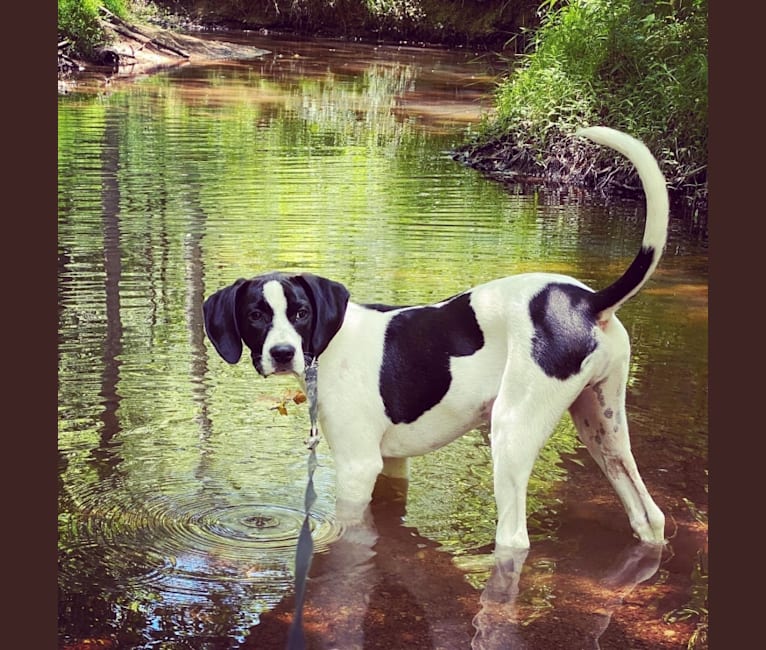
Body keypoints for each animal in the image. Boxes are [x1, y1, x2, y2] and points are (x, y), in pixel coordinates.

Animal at [207, 128, 668, 552]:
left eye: (301, 313)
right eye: (255, 315)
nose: (282, 354)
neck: (331, 345)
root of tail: (587, 301)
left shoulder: (357, 467)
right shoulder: (393, 461)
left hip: (511, 432)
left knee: (514, 539)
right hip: (603, 431)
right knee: (650, 516)